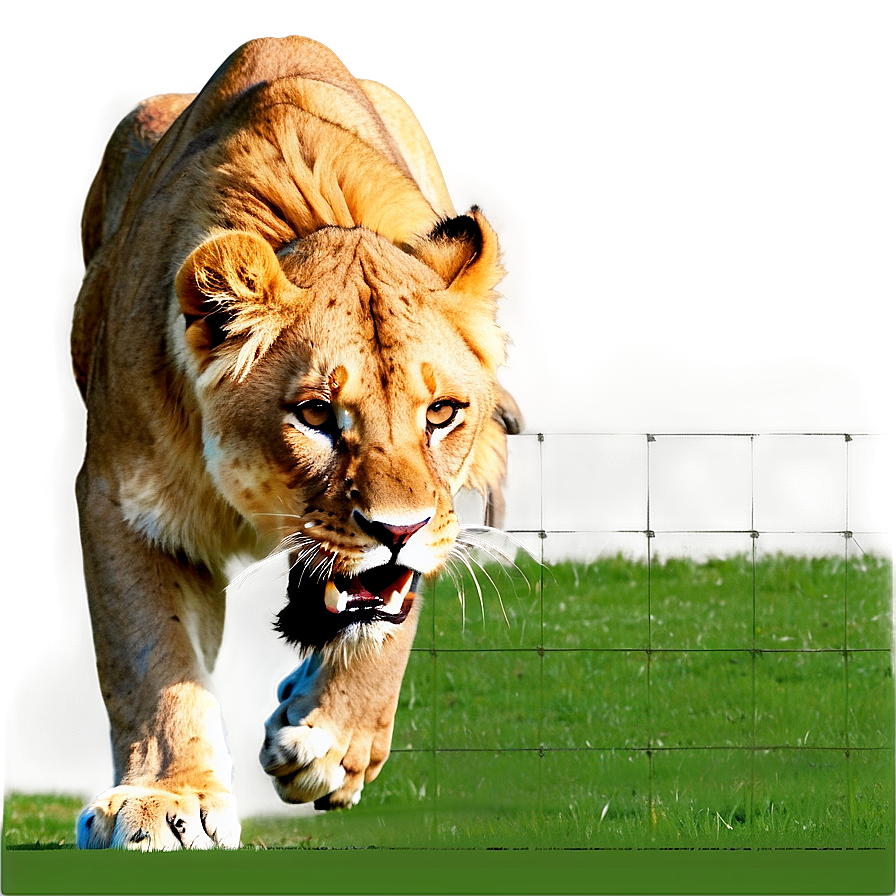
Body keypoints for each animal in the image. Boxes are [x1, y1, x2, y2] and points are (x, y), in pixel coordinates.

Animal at [70, 36, 518, 850]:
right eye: (315, 414)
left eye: (441, 413)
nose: (398, 530)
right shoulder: (120, 500)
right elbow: (148, 659)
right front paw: (165, 800)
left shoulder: (441, 519)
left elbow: (390, 623)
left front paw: (333, 747)